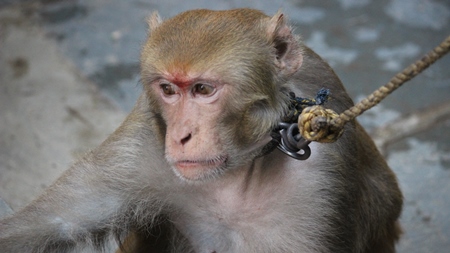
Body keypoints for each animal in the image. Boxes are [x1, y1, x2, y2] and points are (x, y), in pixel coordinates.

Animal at [0, 8, 400, 253]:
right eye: (168, 89)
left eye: (203, 89)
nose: (180, 136)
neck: (240, 169)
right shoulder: (143, 141)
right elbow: (53, 224)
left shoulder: (321, 182)